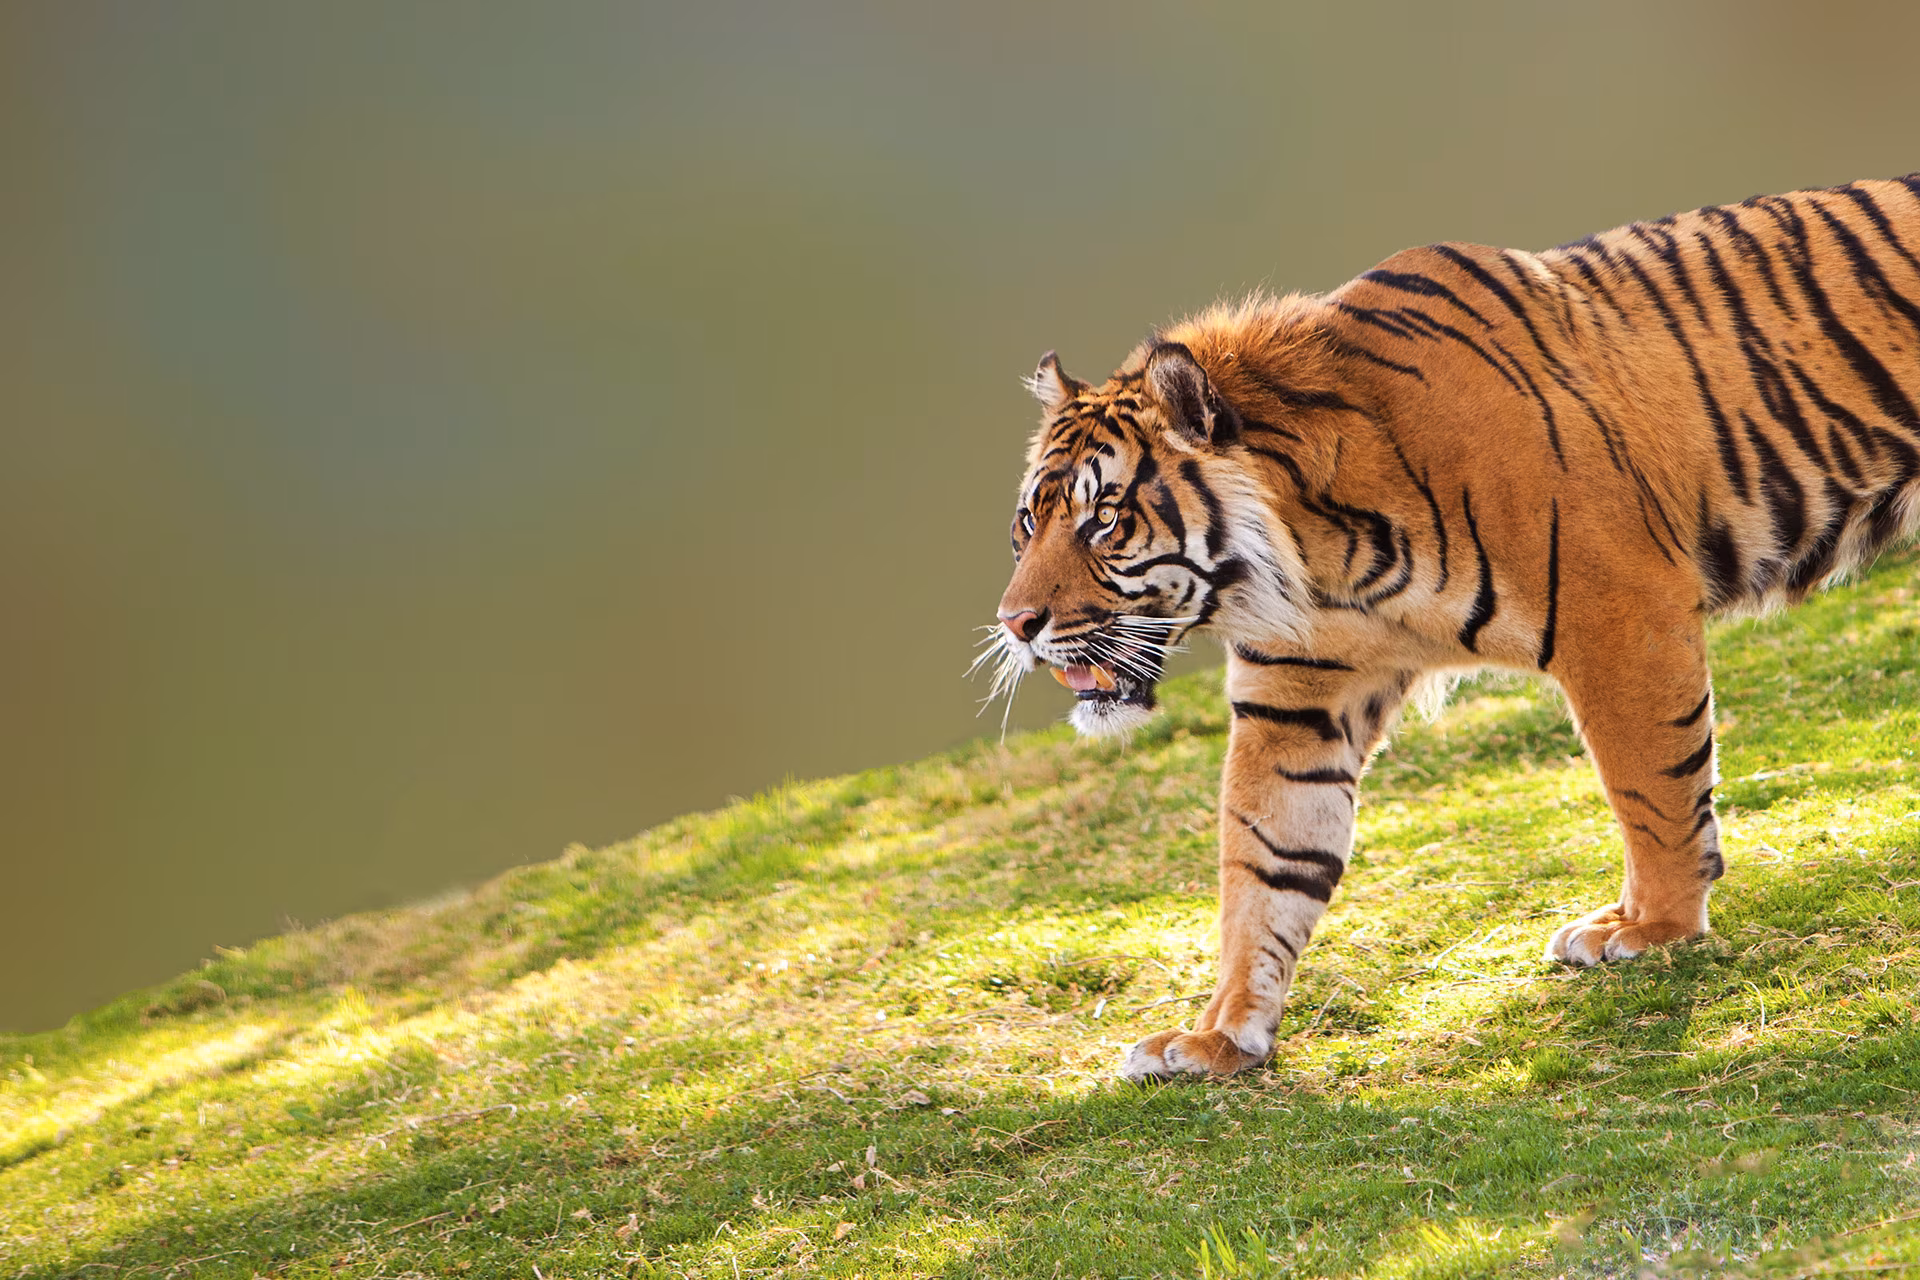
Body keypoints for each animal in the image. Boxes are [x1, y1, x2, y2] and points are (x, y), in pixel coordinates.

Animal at [979, 175, 1920, 1081]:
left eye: (1104, 521)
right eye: (1028, 522)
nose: (1015, 622)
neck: (1317, 558)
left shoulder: (1621, 613)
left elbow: (1652, 786)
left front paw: (1654, 927)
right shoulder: (1295, 702)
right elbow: (1264, 863)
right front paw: (1218, 1038)